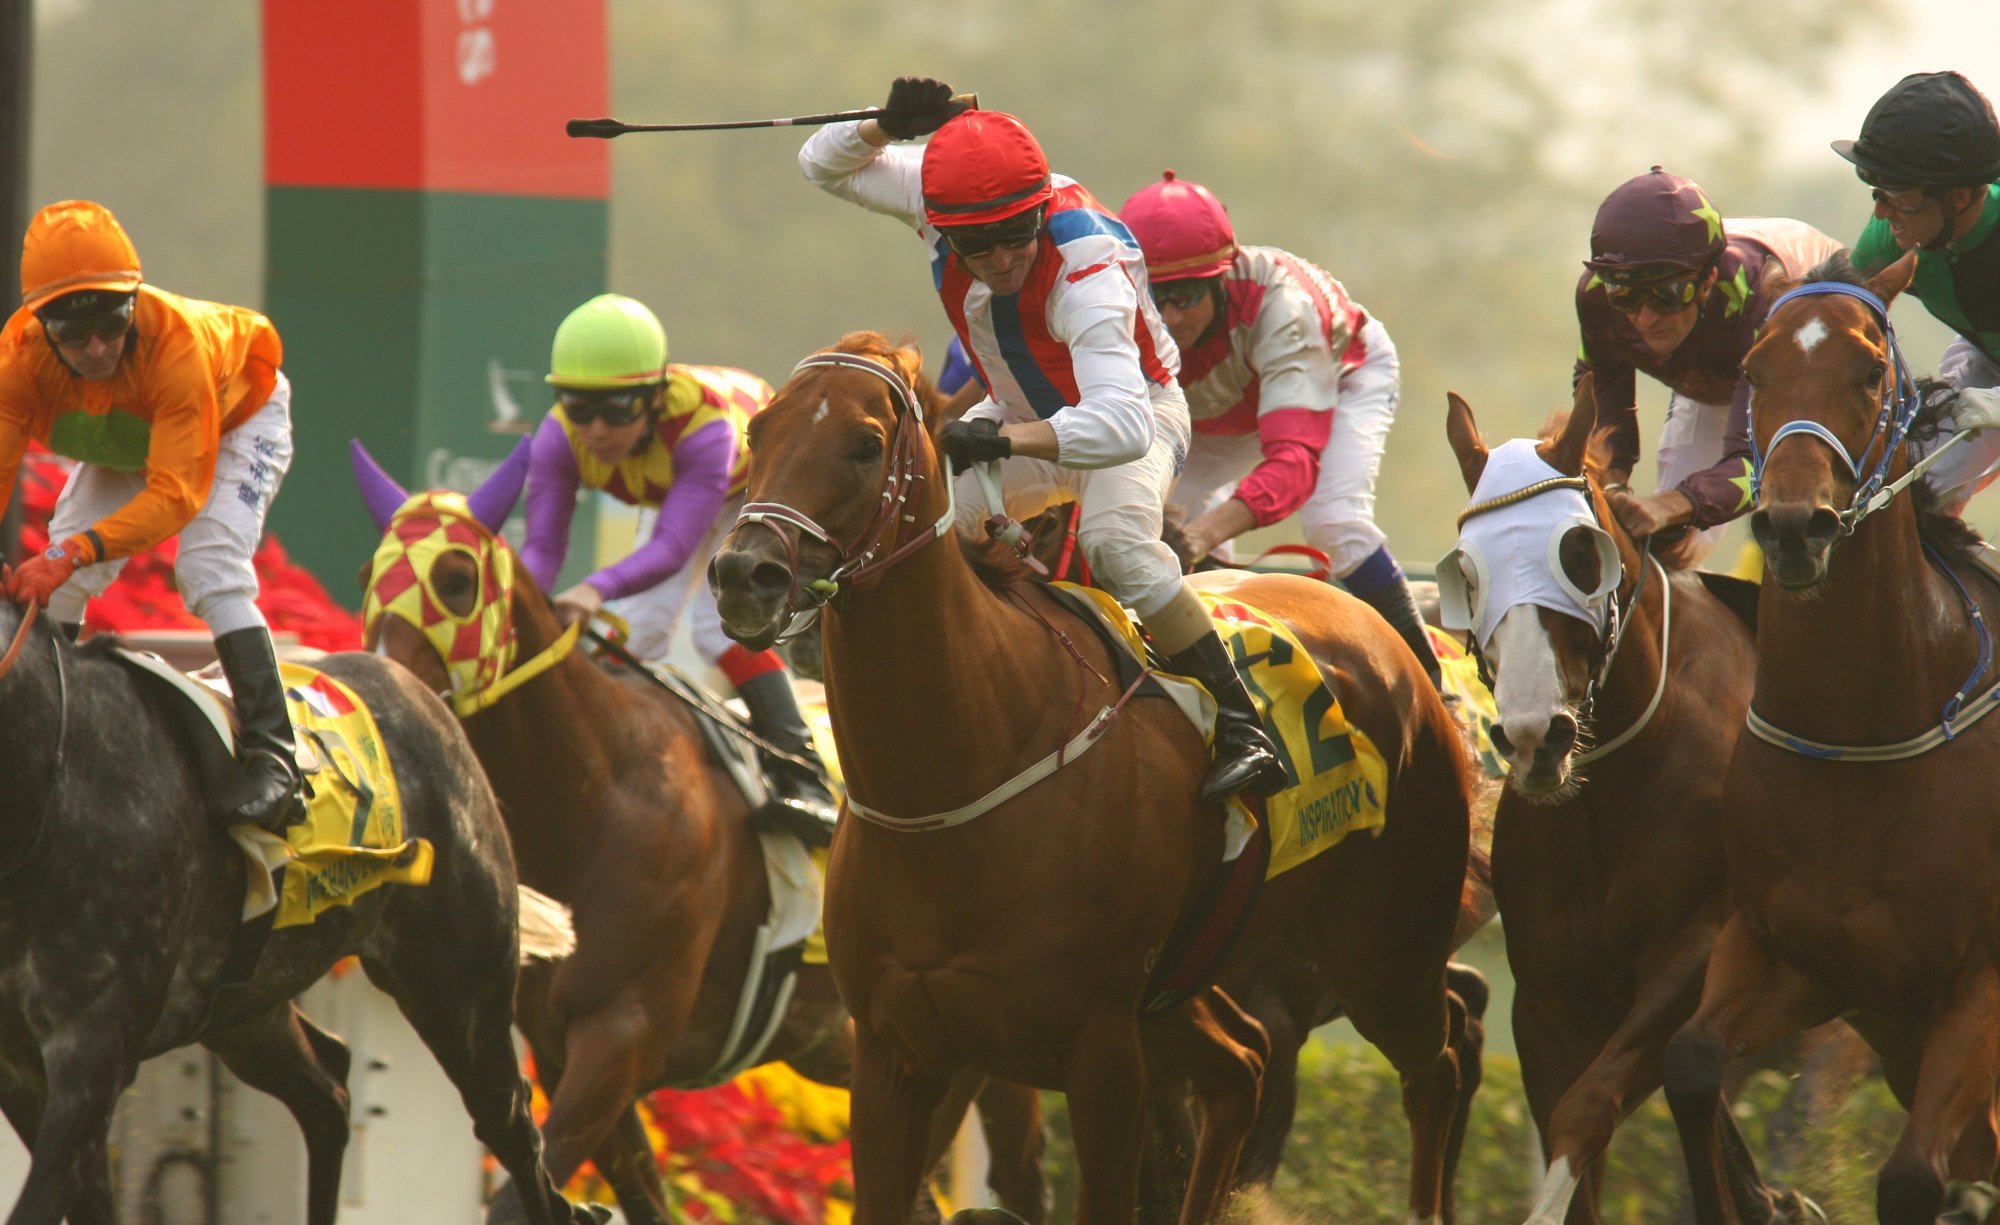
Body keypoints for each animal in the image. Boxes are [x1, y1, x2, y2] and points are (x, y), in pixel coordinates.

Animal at [0, 604, 600, 1224]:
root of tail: (425, 695)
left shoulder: (93, 1052)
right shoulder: (24, 1071)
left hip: (460, 994)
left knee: (511, 1125)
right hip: (242, 1009)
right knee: (328, 1088)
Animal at [354, 452, 1056, 1224]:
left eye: (455, 579)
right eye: (366, 578)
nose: (384, 681)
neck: (597, 799)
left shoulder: (620, 1039)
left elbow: (518, 1199)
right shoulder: (570, 1055)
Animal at [708, 334, 1488, 1224]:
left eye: (867, 444)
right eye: (758, 431)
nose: (744, 573)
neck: (957, 774)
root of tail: (1394, 643)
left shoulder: (1100, 1050)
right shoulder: (893, 1051)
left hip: (1383, 948)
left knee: (1442, 1055)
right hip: (1189, 983)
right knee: (1244, 1064)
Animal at [1664, 251, 2000, 1224]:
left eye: (1870, 371)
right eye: (1755, 369)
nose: (1792, 525)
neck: (1863, 732)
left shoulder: (1978, 986)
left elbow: (1911, 1178)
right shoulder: (1797, 958)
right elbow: (1690, 1063)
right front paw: (1768, 1199)